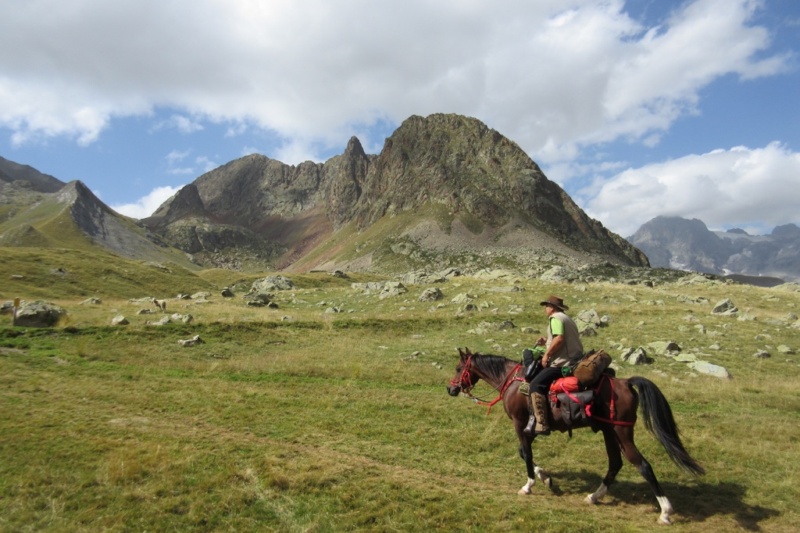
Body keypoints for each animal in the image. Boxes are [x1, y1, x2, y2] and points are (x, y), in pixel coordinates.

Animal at [446, 344, 704, 524]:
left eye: (459, 368)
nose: (450, 388)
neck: (512, 381)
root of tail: (625, 382)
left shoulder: (521, 425)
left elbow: (525, 454)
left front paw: (529, 485)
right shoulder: (528, 429)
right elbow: (523, 453)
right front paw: (546, 478)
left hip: (622, 432)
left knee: (643, 466)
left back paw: (665, 512)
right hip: (609, 432)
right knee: (615, 463)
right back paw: (594, 497)